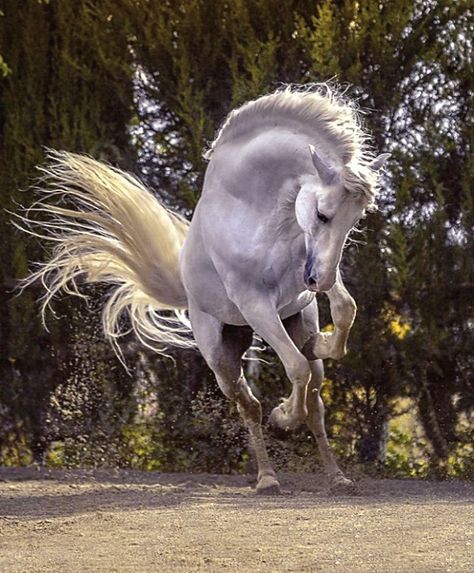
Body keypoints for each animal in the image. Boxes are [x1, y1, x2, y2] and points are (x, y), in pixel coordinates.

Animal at [20, 84, 388, 492]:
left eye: (354, 221)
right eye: (323, 214)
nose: (317, 280)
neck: (257, 208)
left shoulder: (306, 285)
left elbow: (343, 311)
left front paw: (320, 345)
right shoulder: (256, 303)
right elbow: (295, 366)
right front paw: (283, 417)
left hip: (290, 321)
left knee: (315, 402)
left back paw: (336, 475)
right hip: (220, 354)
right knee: (252, 402)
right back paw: (267, 477)